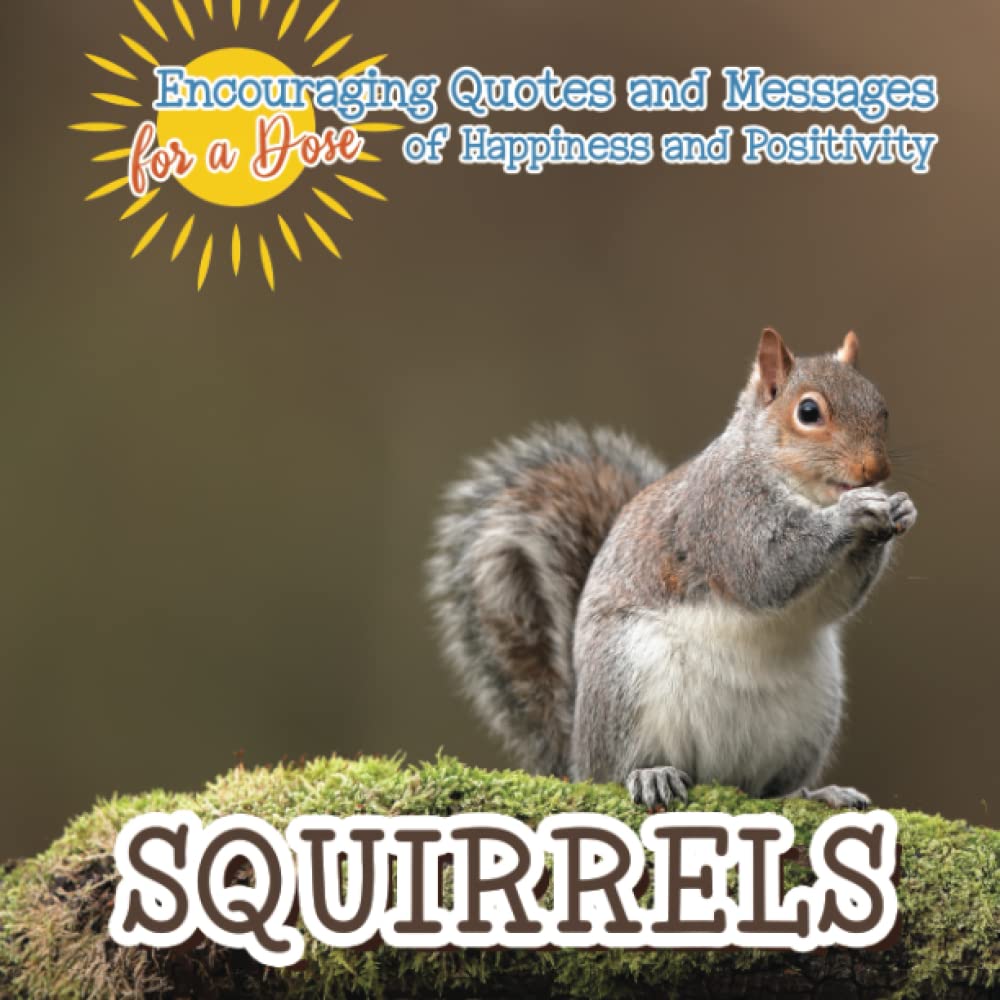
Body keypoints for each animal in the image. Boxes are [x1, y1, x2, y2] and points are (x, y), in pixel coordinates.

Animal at [427, 329, 916, 810]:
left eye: (883, 407)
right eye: (809, 412)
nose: (876, 469)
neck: (798, 486)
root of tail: (578, 755)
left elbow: (834, 601)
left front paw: (898, 510)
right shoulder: (722, 516)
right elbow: (768, 570)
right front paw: (853, 512)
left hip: (811, 715)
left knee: (770, 788)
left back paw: (818, 793)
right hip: (627, 682)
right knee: (616, 770)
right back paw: (650, 775)